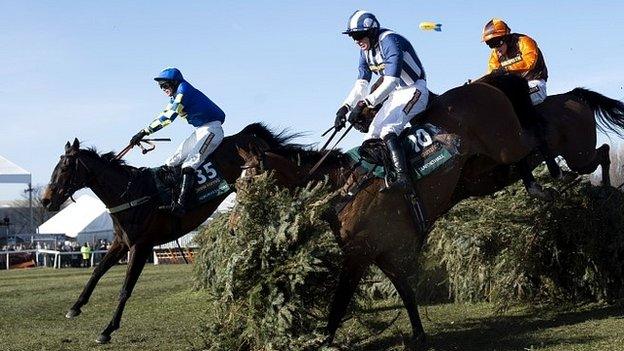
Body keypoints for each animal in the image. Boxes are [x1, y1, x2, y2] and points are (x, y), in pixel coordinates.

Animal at [40, 122, 296, 346]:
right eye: (54, 167)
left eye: (64, 168)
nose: (46, 200)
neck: (131, 194)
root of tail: (247, 135)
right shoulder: (121, 242)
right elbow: (96, 272)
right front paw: (76, 306)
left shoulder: (141, 246)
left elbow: (125, 289)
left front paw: (107, 330)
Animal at [235, 80, 624, 351]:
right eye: (236, 185)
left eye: (249, 183)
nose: (237, 224)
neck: (342, 187)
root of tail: (486, 84)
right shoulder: (386, 253)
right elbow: (406, 292)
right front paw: (419, 334)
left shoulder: (358, 254)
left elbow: (339, 301)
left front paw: (323, 338)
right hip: (499, 162)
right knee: (554, 155)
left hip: (533, 147)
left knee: (576, 149)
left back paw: (578, 185)